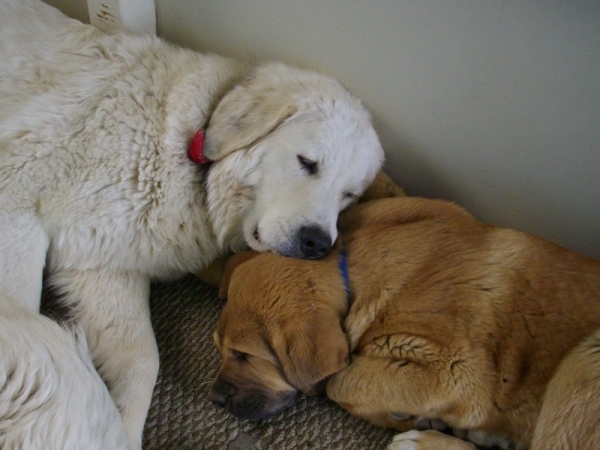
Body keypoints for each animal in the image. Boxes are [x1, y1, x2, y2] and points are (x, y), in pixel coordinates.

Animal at [0, 1, 384, 448]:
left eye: (349, 195)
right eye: (308, 163)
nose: (318, 243)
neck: (187, 154)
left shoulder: (102, 262)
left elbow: (142, 360)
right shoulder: (16, 207)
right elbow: (28, 329)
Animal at [210, 198, 600, 450]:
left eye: (244, 355)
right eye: (218, 348)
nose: (214, 399)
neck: (352, 275)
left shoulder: (457, 373)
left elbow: (341, 382)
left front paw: (409, 417)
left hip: (583, 363)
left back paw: (427, 440)